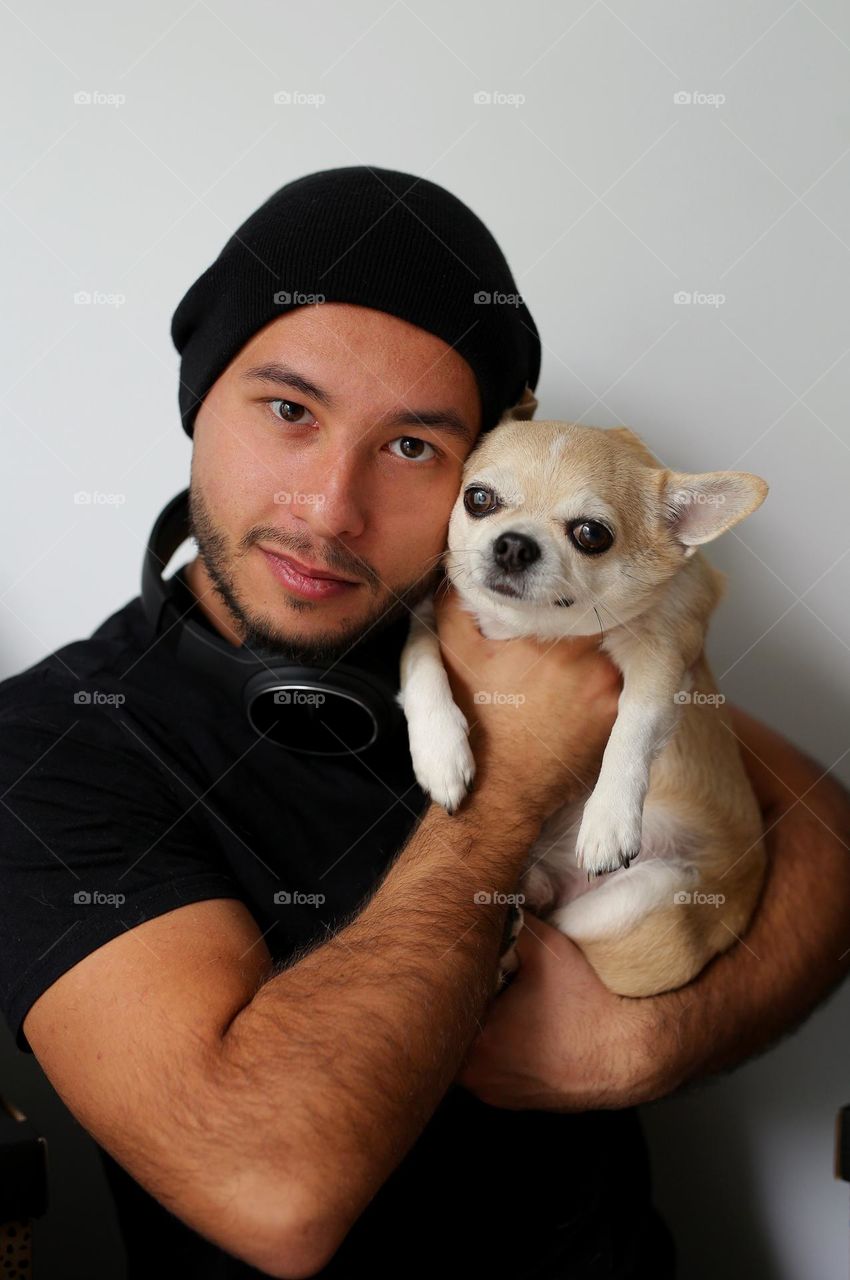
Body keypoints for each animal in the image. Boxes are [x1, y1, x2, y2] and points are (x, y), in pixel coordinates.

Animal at [399, 391, 768, 998]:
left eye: (592, 535)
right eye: (478, 499)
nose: (514, 543)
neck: (525, 628)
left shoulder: (665, 653)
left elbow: (635, 722)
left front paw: (609, 817)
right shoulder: (432, 613)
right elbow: (418, 661)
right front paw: (440, 752)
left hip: (635, 907)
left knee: (567, 925)